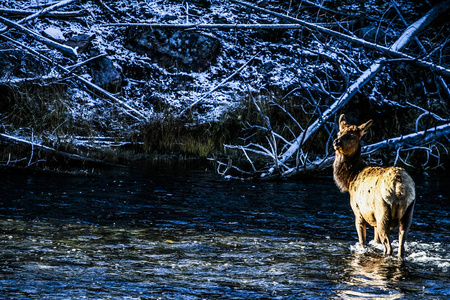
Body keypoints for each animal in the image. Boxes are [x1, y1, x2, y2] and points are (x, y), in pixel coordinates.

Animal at [332, 115, 416, 258]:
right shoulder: (374, 221)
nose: (337, 141)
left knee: (389, 247)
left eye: (353, 136)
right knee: (401, 246)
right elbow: (376, 241)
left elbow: (362, 241)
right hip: (407, 214)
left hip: (382, 212)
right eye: (339, 133)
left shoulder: (358, 211)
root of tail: (399, 188)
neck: (350, 179)